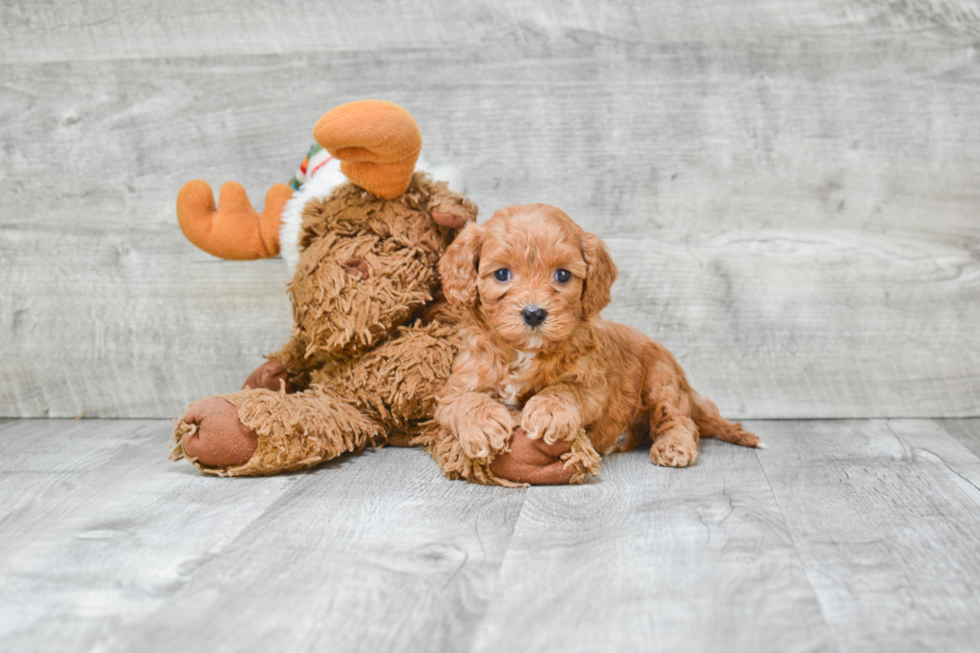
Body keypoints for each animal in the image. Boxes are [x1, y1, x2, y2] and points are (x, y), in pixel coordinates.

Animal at [432, 201, 760, 476]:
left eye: (563, 275)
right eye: (501, 274)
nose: (534, 314)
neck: (524, 351)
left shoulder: (593, 385)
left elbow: (565, 389)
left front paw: (549, 410)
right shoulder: (454, 389)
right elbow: (465, 400)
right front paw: (483, 424)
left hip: (661, 381)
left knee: (680, 420)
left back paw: (673, 445)